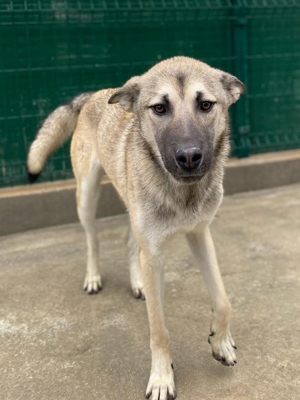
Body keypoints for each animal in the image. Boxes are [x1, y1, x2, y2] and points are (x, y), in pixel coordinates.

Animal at [27, 57, 245, 400]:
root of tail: (95, 94)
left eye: (206, 105)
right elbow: (159, 330)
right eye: (159, 108)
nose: (189, 157)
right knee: (93, 240)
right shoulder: (154, 254)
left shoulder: (199, 234)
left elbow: (223, 300)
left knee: (129, 242)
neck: (181, 193)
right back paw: (93, 277)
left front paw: (220, 342)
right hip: (86, 197)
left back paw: (137, 282)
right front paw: (161, 378)